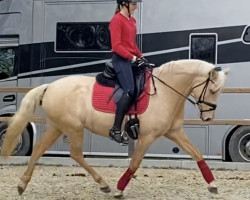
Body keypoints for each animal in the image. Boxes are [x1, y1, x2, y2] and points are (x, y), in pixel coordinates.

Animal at [1, 58, 229, 198]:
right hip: (73, 127)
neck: (165, 91)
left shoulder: (174, 132)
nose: (208, 117)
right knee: (75, 153)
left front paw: (213, 184)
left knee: (40, 149)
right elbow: (135, 163)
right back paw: (104, 184)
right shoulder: (146, 137)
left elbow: (197, 154)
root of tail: (50, 86)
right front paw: (120, 189)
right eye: (212, 90)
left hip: (58, 126)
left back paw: (22, 185)